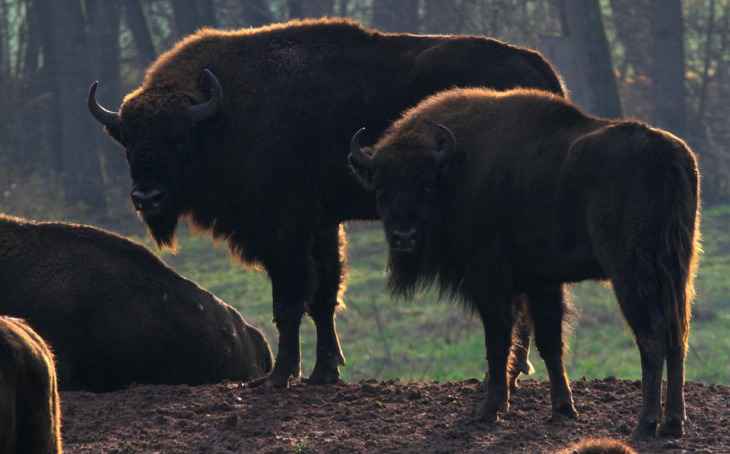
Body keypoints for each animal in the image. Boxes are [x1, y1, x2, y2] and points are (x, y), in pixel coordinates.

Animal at [86, 16, 564, 386]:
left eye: (179, 139)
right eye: (129, 142)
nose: (147, 196)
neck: (224, 114)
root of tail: (540, 71)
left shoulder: (284, 230)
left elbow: (291, 299)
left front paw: (280, 376)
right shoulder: (320, 224)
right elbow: (323, 297)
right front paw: (324, 372)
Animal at [350, 87, 704, 438]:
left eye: (425, 186)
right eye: (381, 189)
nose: (404, 237)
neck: (456, 169)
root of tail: (666, 155)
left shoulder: (491, 282)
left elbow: (499, 342)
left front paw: (489, 410)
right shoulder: (541, 282)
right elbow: (550, 343)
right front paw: (563, 409)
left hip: (631, 274)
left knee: (652, 338)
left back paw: (645, 424)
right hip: (678, 272)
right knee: (678, 337)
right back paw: (673, 423)